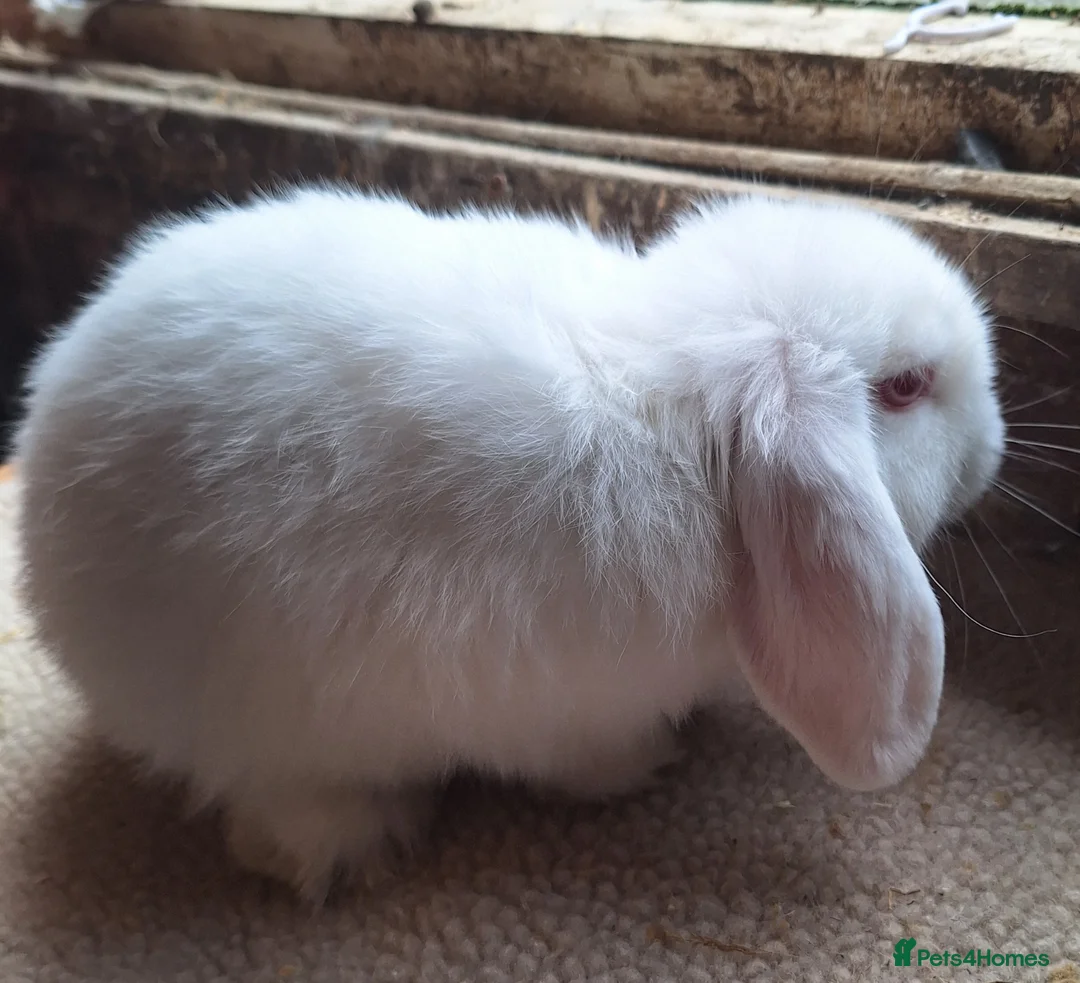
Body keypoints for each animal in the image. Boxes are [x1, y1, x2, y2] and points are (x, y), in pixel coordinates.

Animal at [13, 187, 1005, 899]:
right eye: (907, 386)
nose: (991, 450)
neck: (680, 416)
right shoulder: (559, 706)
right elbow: (582, 756)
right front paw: (646, 764)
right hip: (268, 712)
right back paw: (351, 847)